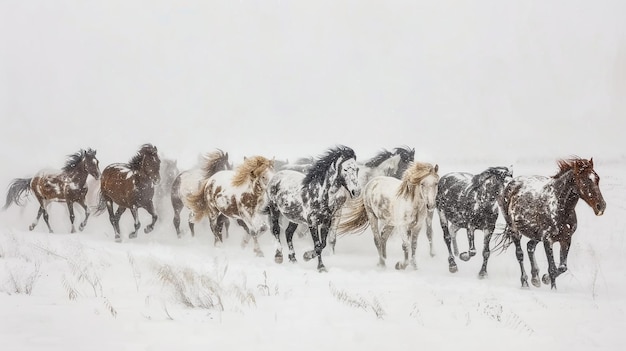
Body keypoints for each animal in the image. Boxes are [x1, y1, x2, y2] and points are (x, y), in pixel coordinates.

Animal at [494, 158, 604, 290]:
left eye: (597, 178)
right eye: (585, 180)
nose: (601, 206)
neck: (559, 208)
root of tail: (511, 183)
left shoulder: (566, 239)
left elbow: (562, 267)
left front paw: (544, 279)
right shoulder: (547, 240)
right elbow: (552, 269)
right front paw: (551, 287)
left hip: (536, 235)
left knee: (530, 247)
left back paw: (535, 279)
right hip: (513, 228)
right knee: (520, 254)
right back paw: (525, 282)